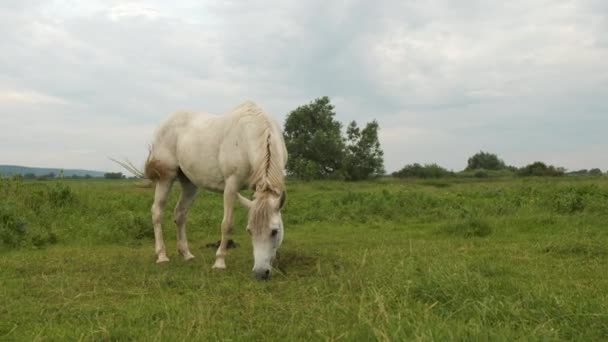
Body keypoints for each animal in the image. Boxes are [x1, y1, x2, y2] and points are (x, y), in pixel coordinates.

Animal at [147, 100, 290, 280]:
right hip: (166, 178)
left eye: (274, 231)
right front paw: (219, 262)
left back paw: (186, 254)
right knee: (157, 212)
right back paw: (161, 256)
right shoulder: (231, 186)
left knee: (180, 214)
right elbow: (227, 224)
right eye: (249, 231)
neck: (251, 133)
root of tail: (165, 122)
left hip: (189, 183)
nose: (260, 273)